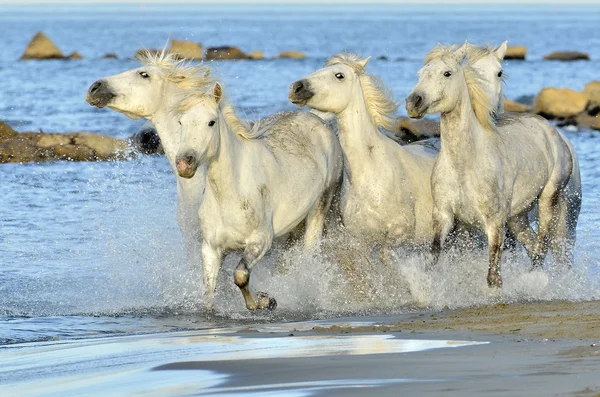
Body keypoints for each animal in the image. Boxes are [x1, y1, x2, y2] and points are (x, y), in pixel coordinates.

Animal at [173, 80, 342, 310]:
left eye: (211, 122)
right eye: (181, 122)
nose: (184, 164)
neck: (230, 194)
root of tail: (320, 122)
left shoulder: (260, 241)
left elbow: (240, 274)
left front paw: (265, 301)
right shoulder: (211, 249)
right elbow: (209, 292)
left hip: (320, 208)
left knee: (308, 254)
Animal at [288, 53, 438, 256]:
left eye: (339, 75)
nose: (296, 88)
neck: (370, 172)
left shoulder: (399, 233)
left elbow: (385, 256)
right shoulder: (360, 240)